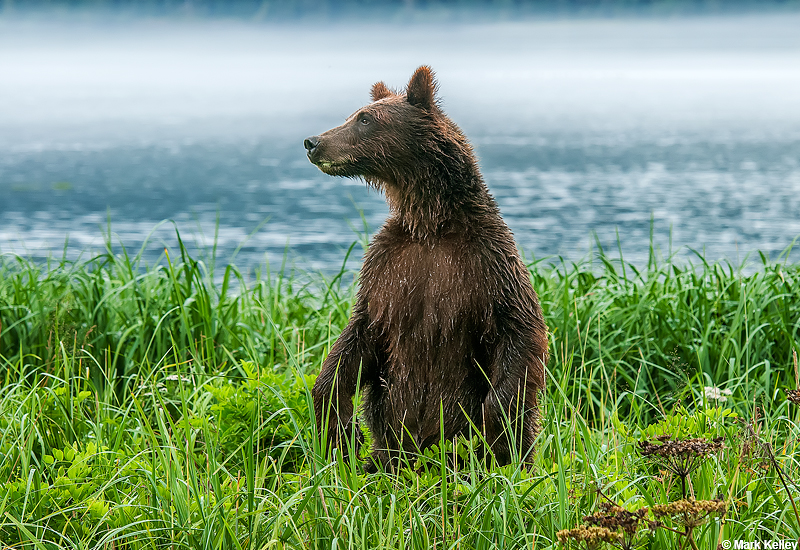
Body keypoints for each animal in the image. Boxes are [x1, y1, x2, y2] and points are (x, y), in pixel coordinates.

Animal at [303, 66, 548, 470]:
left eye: (364, 119)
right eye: (353, 114)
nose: (313, 141)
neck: (431, 223)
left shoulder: (488, 264)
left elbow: (517, 332)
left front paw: (498, 442)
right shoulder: (387, 270)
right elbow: (356, 339)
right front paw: (339, 428)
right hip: (388, 451)